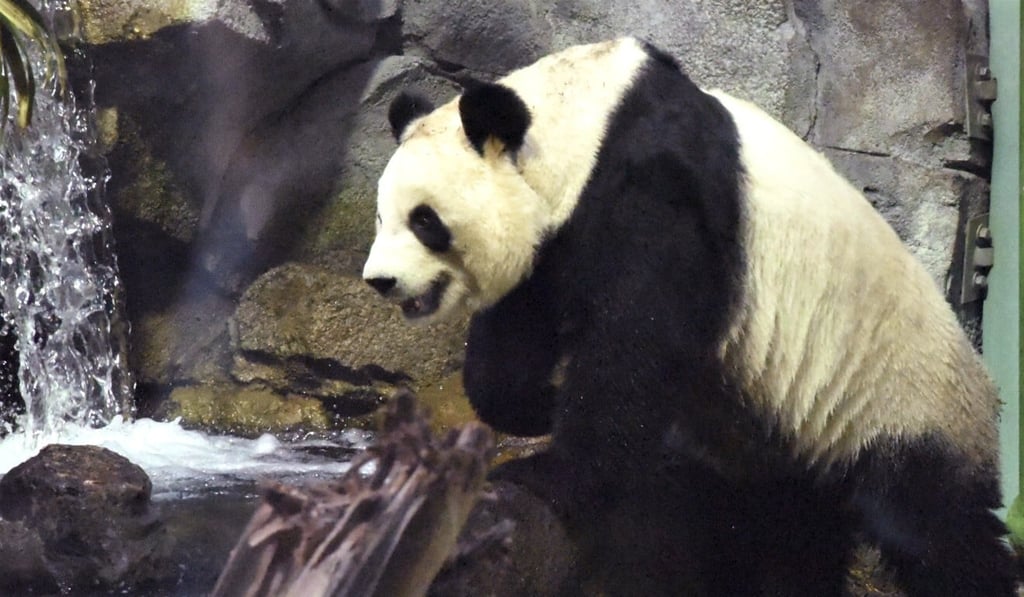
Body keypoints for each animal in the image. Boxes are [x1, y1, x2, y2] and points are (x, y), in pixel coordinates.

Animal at [362, 37, 1016, 596]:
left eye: (425, 220)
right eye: (381, 216)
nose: (381, 281)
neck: (582, 120)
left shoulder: (658, 191)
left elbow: (634, 346)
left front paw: (547, 472)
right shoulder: (556, 243)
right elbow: (516, 334)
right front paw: (536, 406)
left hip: (901, 400)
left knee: (934, 528)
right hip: (790, 437)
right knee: (788, 530)